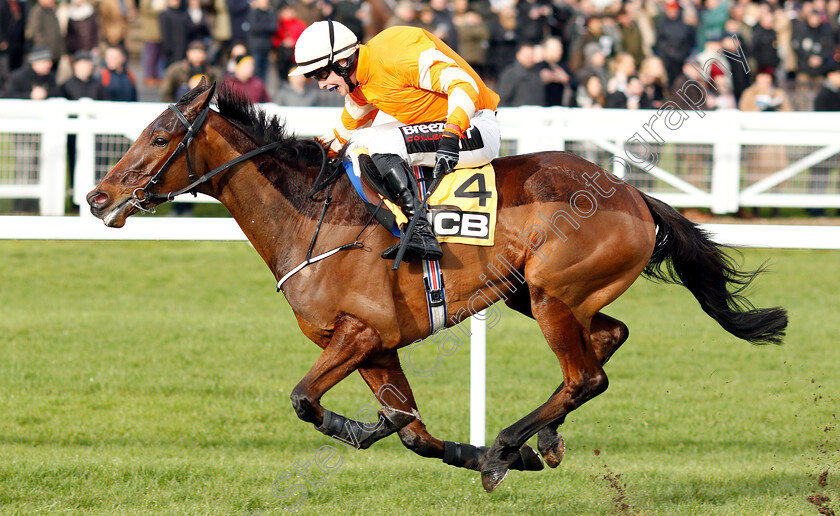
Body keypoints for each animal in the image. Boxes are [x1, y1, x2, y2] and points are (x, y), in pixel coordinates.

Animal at [85, 81, 788, 492]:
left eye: (158, 137)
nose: (97, 197)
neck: (312, 217)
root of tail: (635, 194)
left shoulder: (360, 333)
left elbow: (305, 401)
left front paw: (471, 451)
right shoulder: (375, 346)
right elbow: (411, 432)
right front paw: (392, 432)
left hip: (552, 291)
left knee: (586, 374)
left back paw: (508, 444)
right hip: (533, 291)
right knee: (606, 339)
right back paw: (543, 441)